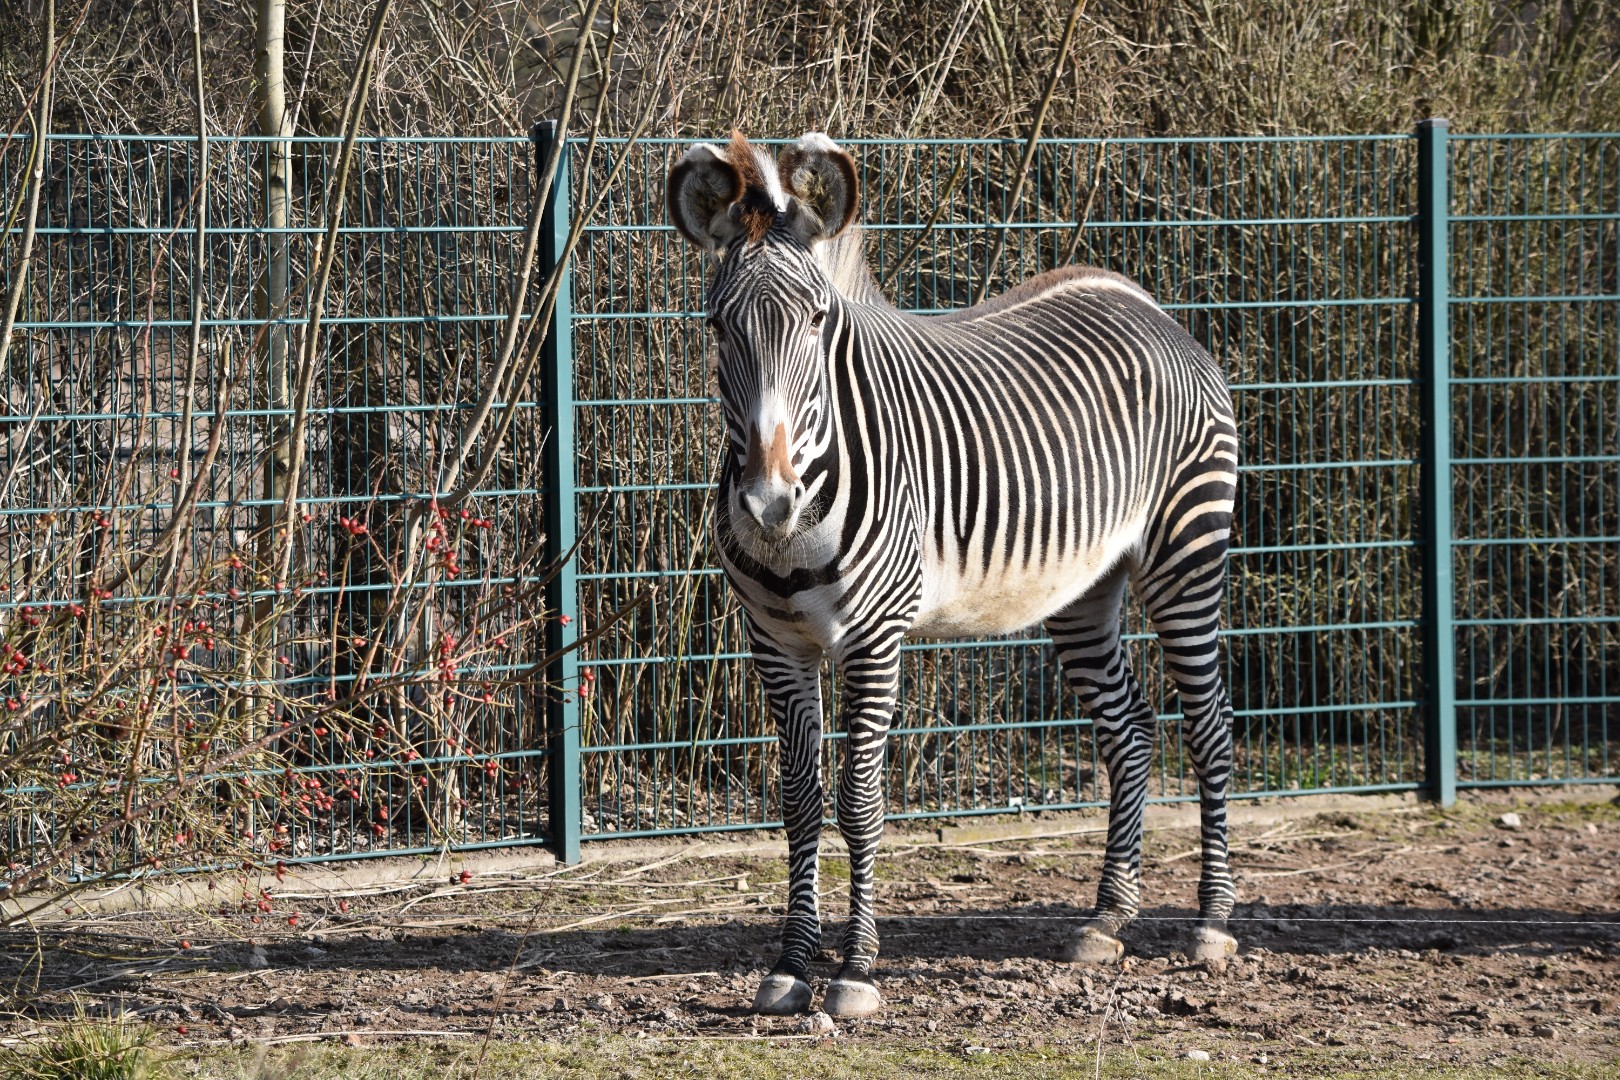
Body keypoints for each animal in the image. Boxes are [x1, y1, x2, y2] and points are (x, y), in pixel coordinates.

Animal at [666, 132, 1239, 1019]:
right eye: (717, 326)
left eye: (817, 321)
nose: (768, 503)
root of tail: (1143, 302)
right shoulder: (775, 642)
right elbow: (799, 804)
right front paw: (791, 964)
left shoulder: (874, 638)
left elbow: (859, 803)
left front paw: (856, 970)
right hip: (1083, 590)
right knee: (1132, 729)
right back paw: (1106, 919)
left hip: (1186, 552)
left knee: (1209, 726)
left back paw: (1210, 924)